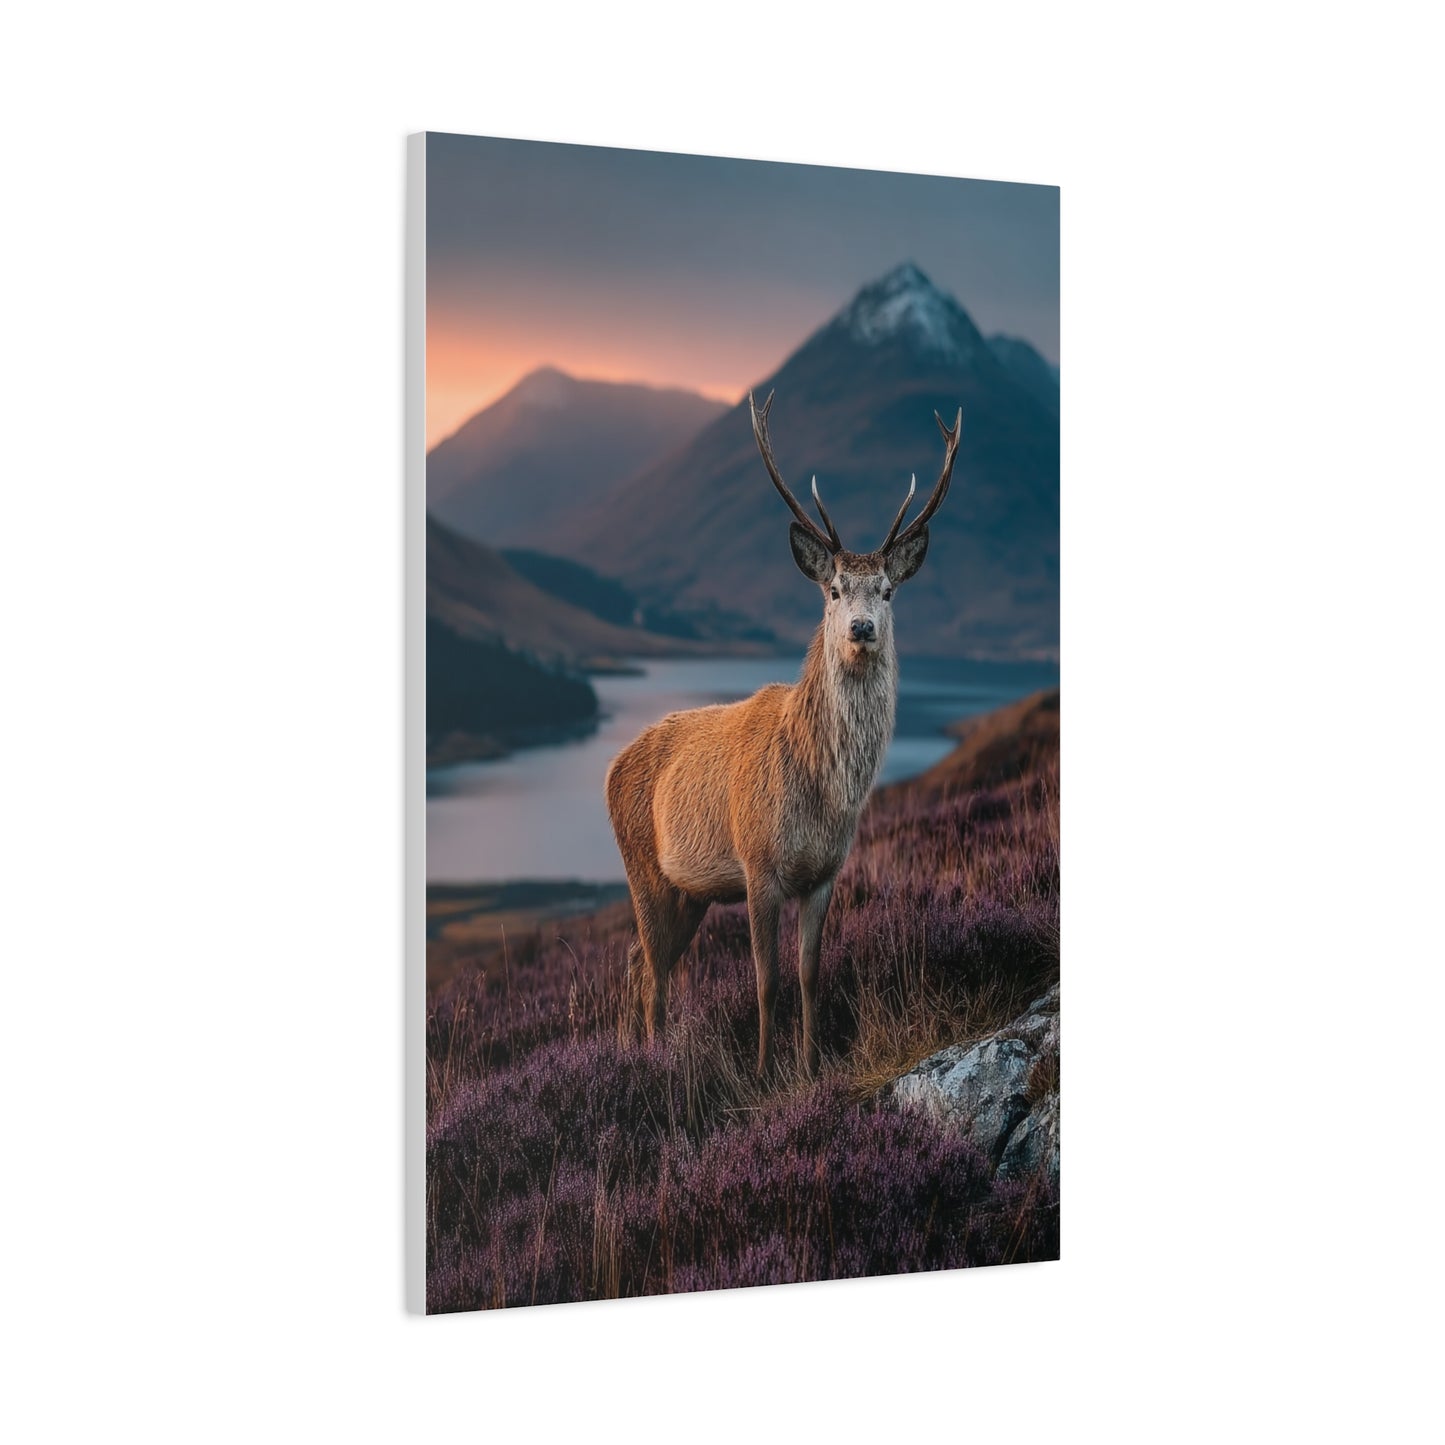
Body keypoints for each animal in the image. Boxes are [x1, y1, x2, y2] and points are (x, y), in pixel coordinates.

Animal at [604, 390, 962, 1078]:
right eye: (834, 588)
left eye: (886, 590)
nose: (860, 628)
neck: (823, 794)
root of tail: (610, 766)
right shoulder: (758, 864)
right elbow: (765, 980)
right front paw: (766, 1070)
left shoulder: (823, 875)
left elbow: (809, 975)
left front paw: (810, 1064)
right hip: (643, 867)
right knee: (653, 969)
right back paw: (653, 1059)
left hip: (689, 890)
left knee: (639, 961)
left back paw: (635, 1051)